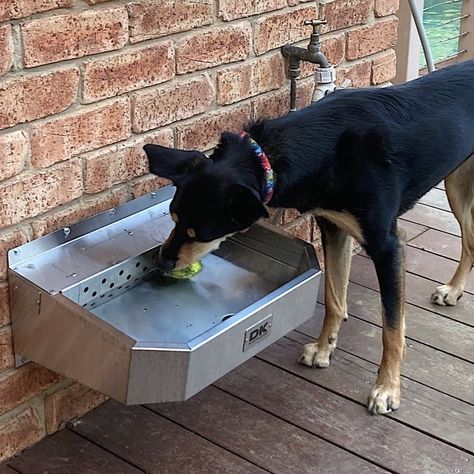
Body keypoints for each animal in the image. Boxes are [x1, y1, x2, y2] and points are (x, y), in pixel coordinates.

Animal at [143, 60, 474, 414]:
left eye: (199, 233)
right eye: (174, 219)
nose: (161, 262)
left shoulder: (387, 246)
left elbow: (391, 327)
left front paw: (387, 388)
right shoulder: (333, 227)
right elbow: (333, 297)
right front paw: (323, 349)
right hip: (456, 183)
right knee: (469, 242)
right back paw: (454, 290)